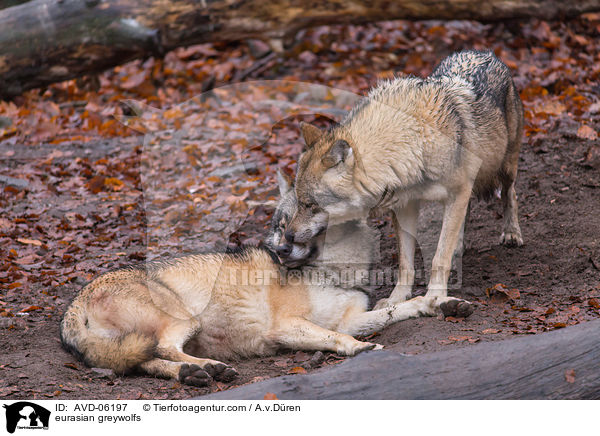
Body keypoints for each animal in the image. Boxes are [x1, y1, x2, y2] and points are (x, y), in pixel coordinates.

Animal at [61, 172, 474, 386]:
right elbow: (337, 338)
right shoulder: (286, 326)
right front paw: (362, 349)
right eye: (281, 223)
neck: (334, 272)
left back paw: (197, 373)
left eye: (308, 215)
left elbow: (400, 308)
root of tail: (73, 307)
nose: (280, 249)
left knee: (144, 362)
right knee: (161, 350)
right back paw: (208, 368)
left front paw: (442, 304)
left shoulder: (352, 317)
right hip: (186, 319)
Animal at [278, 50, 524, 310]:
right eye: (300, 203)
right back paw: (459, 246)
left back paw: (511, 233)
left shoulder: (457, 191)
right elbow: (406, 263)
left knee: (510, 193)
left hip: (505, 167)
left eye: (310, 205)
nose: (288, 238)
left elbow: (439, 257)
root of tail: (483, 52)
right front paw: (397, 299)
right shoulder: (406, 206)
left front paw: (435, 296)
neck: (415, 142)